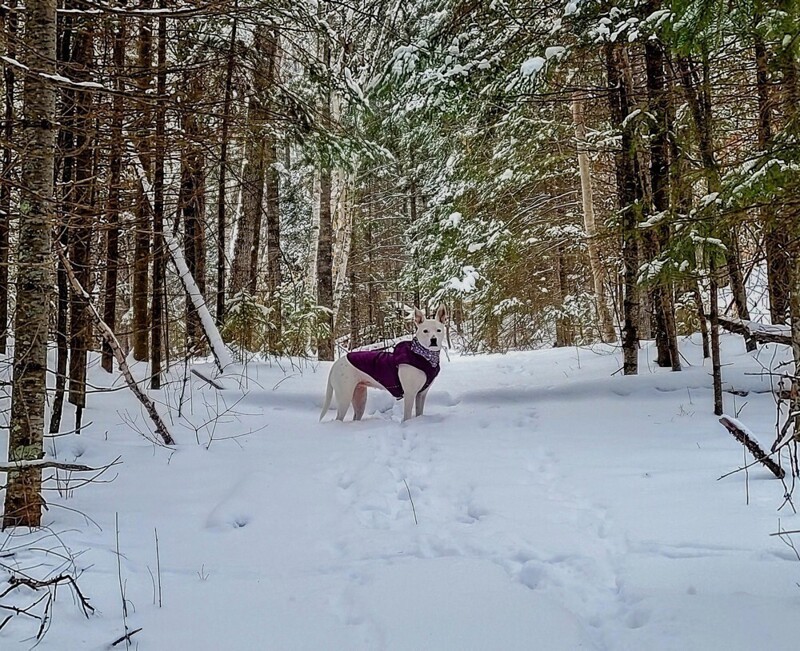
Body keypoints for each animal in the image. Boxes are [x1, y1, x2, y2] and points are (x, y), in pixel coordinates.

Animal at [318, 306, 446, 422]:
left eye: (439, 330)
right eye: (425, 331)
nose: (433, 340)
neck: (423, 356)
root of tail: (336, 364)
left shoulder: (421, 394)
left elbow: (419, 412)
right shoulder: (410, 394)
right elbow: (407, 417)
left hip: (359, 397)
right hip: (345, 396)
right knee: (339, 418)